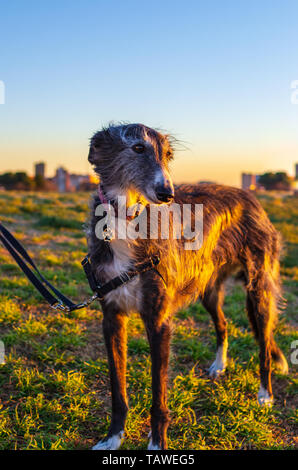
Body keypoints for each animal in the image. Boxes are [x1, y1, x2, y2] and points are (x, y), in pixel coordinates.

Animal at [85, 123, 286, 450]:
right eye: (137, 148)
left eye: (168, 155)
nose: (167, 194)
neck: (127, 219)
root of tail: (250, 197)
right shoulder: (112, 317)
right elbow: (118, 389)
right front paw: (113, 438)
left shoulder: (158, 321)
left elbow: (159, 397)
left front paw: (157, 444)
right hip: (209, 289)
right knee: (224, 324)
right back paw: (219, 366)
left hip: (259, 289)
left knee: (265, 344)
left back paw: (264, 394)